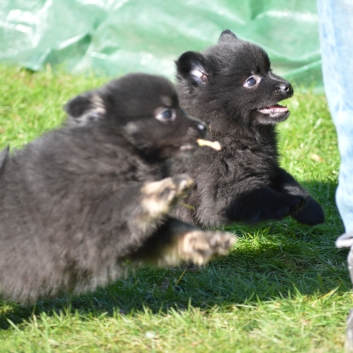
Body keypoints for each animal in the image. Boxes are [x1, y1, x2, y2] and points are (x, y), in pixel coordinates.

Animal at [0, 72, 234, 302]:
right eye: (167, 113)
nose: (204, 126)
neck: (114, 147)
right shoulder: (93, 216)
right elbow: (132, 198)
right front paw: (167, 186)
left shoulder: (134, 233)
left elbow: (175, 231)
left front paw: (205, 241)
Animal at [171, 31, 324, 228]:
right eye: (251, 81)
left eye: (270, 70)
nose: (288, 86)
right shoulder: (222, 190)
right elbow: (262, 196)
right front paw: (290, 202)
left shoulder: (266, 165)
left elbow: (289, 180)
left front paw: (311, 209)